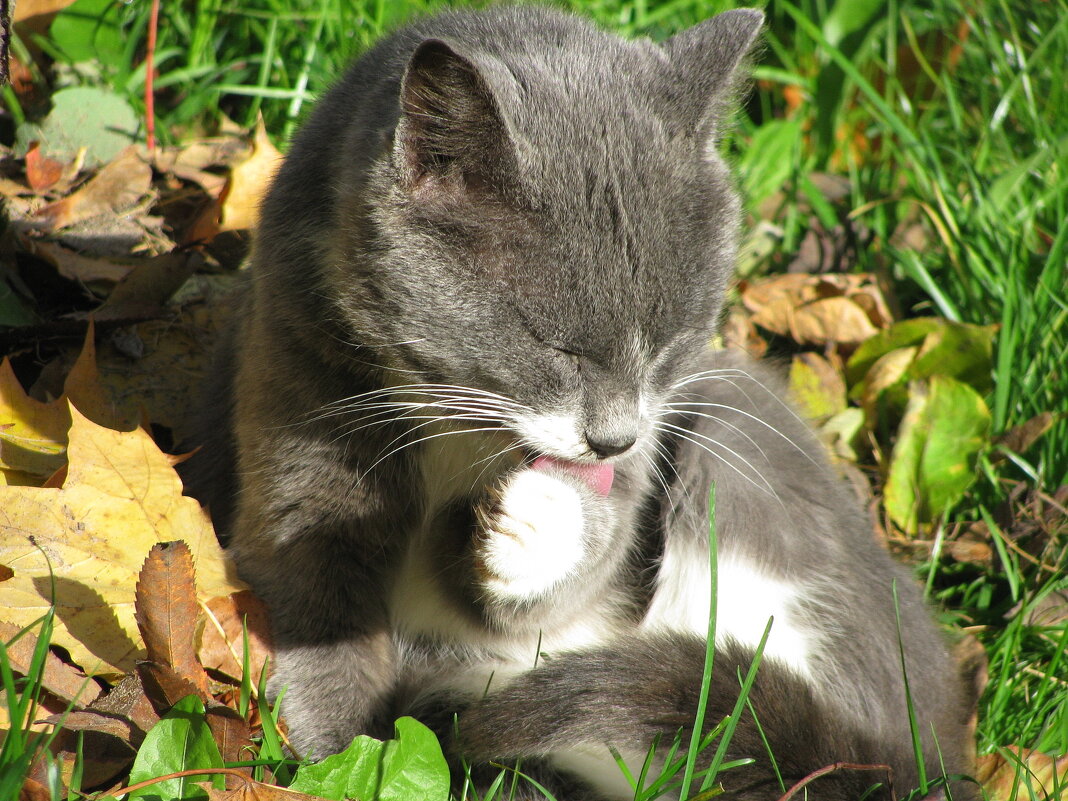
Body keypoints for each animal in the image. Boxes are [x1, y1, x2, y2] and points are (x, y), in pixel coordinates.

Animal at [183, 6, 978, 801]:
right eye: (559, 348)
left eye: (670, 341)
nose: (613, 439)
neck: (458, 418)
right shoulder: (300, 389)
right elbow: (315, 590)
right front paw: (341, 758)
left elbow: (576, 562)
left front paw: (541, 518)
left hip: (739, 425)